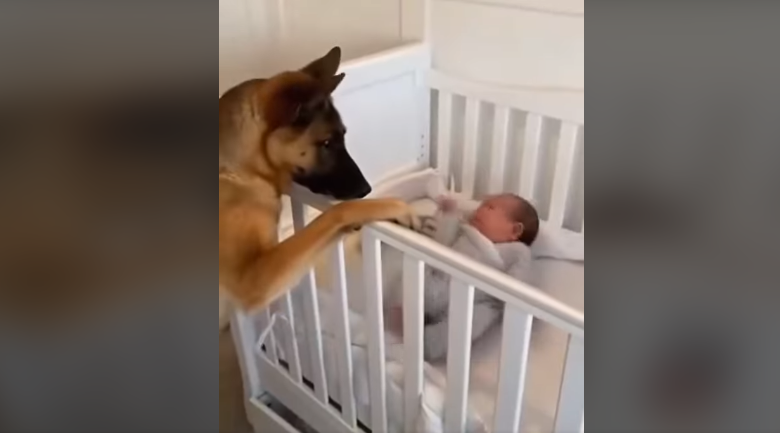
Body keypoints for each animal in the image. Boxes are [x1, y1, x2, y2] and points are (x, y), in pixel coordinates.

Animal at [219, 47, 418, 327]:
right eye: (325, 143)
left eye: (343, 136)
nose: (366, 189)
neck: (242, 166)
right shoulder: (254, 278)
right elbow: (337, 211)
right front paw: (393, 206)